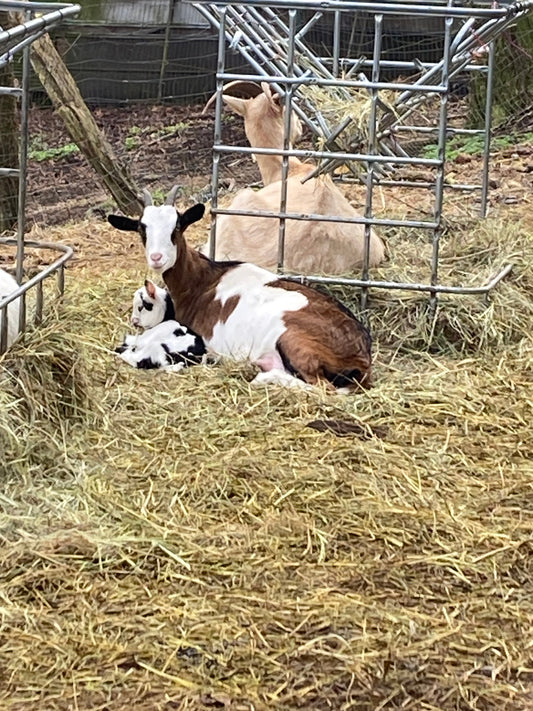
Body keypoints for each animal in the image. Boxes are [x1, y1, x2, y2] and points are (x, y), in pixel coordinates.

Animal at [108, 187, 373, 390]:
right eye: (142, 228)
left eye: (177, 226)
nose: (157, 258)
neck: (200, 281)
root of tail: (362, 357)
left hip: (296, 342)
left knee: (323, 388)